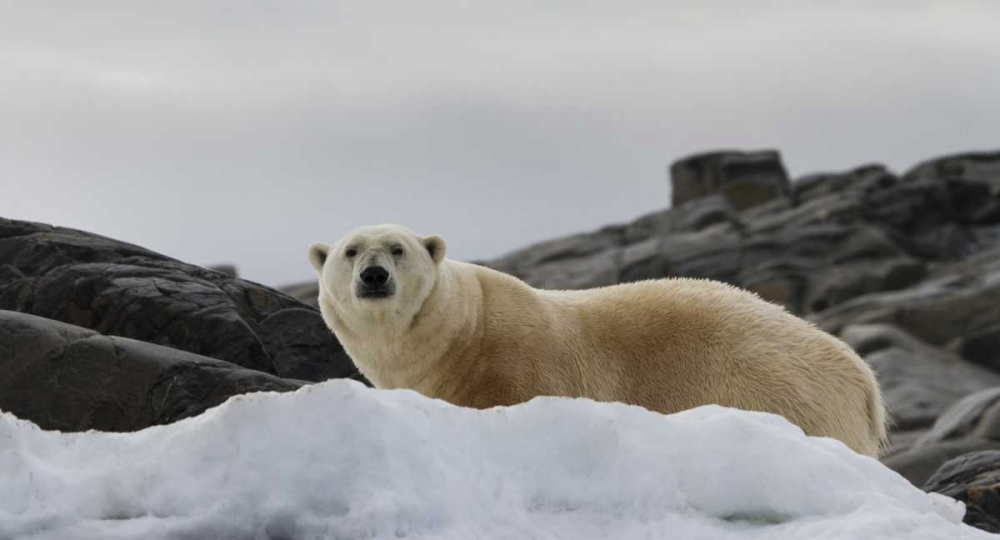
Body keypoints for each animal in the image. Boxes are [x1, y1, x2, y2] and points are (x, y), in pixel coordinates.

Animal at [308, 223, 888, 456]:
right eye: (350, 251)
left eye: (398, 248)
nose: (374, 276)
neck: (463, 336)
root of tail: (863, 379)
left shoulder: (518, 370)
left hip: (779, 389)